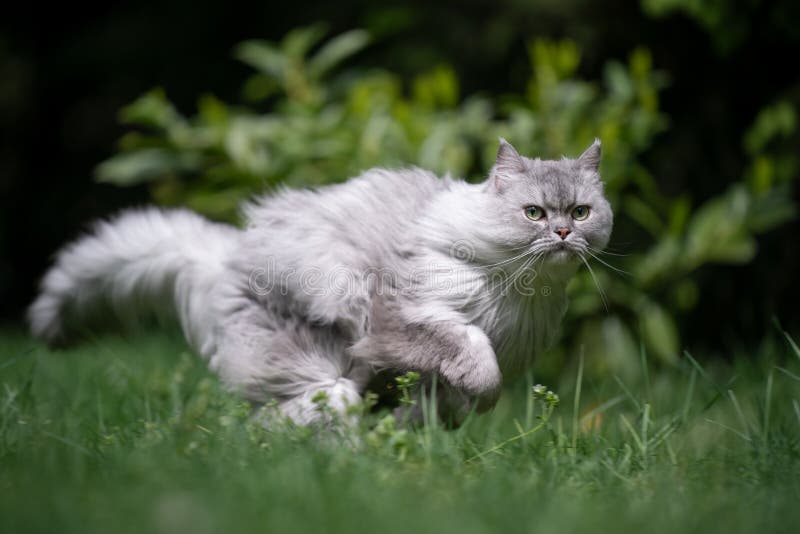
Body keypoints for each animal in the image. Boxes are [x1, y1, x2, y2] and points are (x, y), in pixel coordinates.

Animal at [25, 138, 612, 428]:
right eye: (534, 213)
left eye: (581, 212)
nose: (563, 233)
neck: (517, 292)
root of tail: (226, 257)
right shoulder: (400, 319)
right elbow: (471, 352)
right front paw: (485, 392)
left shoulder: (437, 375)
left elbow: (443, 405)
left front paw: (448, 414)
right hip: (322, 372)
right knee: (284, 422)